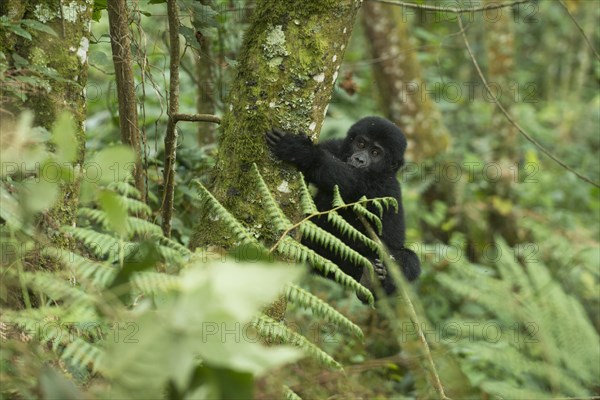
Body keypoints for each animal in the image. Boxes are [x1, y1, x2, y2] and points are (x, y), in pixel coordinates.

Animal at [264, 115, 420, 300]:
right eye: (361, 144)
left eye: (376, 153)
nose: (360, 159)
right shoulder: (335, 146)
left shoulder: (381, 185)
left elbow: (349, 183)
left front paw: (303, 153)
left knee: (410, 260)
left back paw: (373, 283)